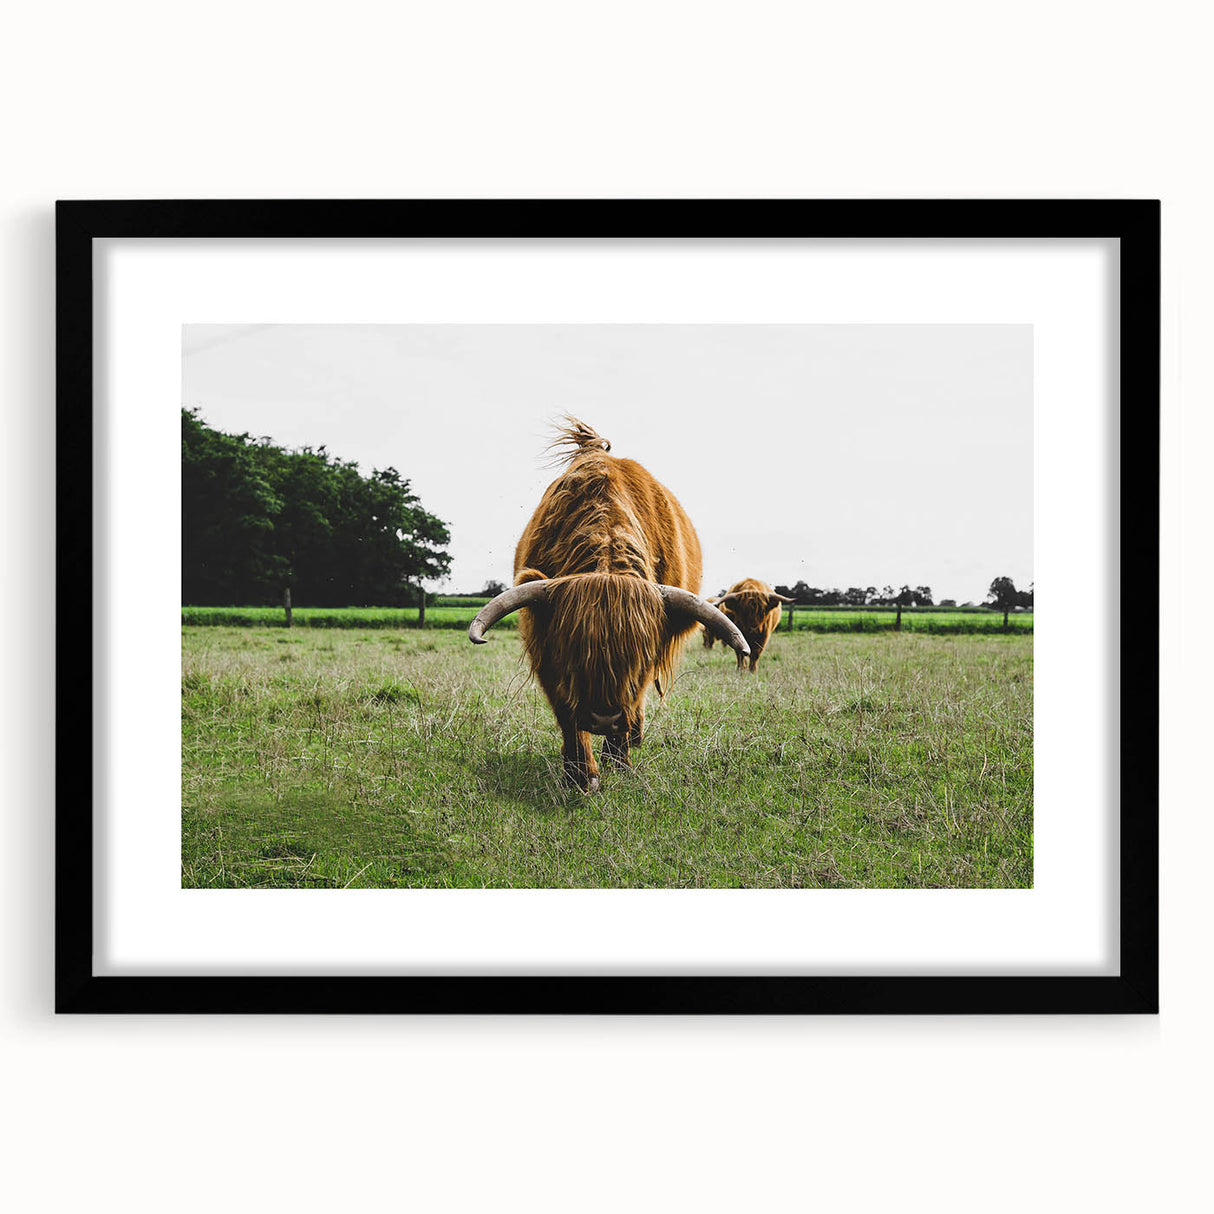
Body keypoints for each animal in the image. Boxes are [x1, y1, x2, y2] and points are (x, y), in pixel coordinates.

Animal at [468, 418, 750, 791]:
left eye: (641, 657)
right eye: (572, 652)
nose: (604, 718)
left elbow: (633, 702)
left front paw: (619, 761)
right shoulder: (546, 653)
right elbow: (568, 715)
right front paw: (580, 774)